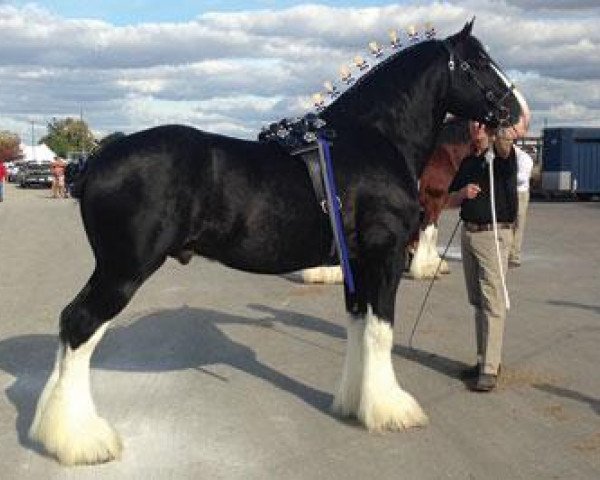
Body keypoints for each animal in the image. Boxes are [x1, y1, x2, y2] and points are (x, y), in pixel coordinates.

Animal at [30, 21, 528, 464]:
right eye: (478, 63)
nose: (519, 115)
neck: (374, 141)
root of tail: (94, 161)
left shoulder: (357, 264)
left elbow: (359, 326)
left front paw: (354, 403)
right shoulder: (384, 257)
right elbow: (381, 330)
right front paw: (391, 410)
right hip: (123, 271)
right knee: (80, 326)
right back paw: (82, 441)